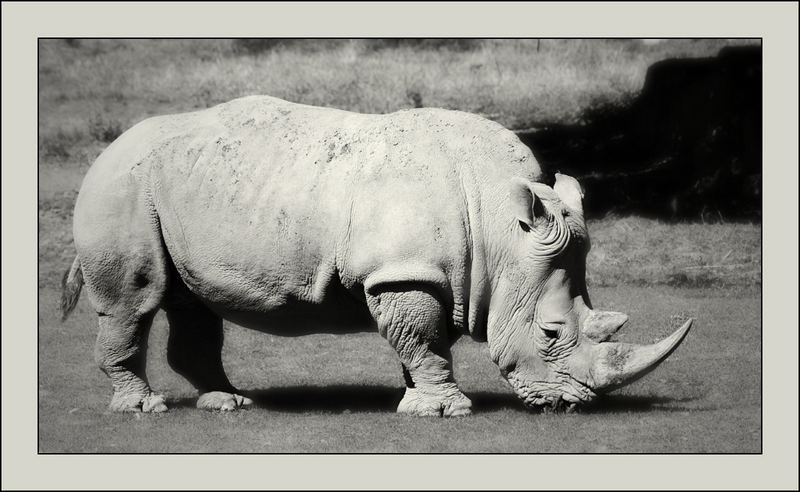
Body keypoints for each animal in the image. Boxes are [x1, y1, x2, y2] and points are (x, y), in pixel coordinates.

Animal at [61, 95, 692, 416]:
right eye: (551, 334)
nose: (573, 403)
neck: (500, 228)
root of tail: (107, 149)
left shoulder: (421, 273)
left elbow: (418, 339)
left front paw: (416, 400)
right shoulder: (402, 273)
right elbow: (423, 337)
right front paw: (448, 410)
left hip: (174, 190)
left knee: (190, 302)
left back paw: (228, 403)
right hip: (123, 187)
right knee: (135, 301)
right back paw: (144, 408)